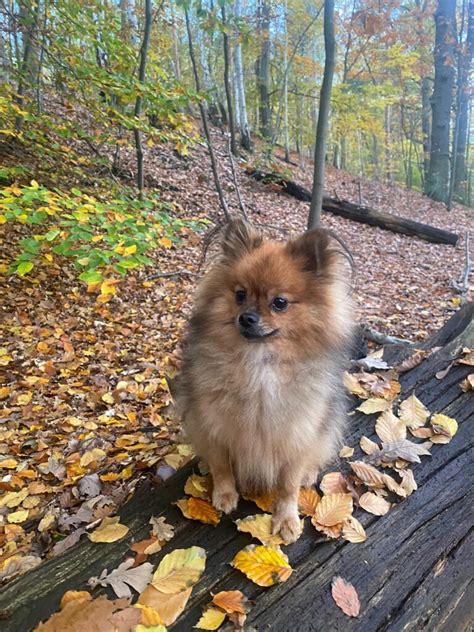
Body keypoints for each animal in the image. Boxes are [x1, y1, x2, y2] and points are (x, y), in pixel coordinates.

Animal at [176, 218, 354, 544]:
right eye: (240, 295)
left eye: (280, 303)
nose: (246, 317)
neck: (259, 366)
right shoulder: (213, 425)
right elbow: (221, 465)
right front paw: (224, 494)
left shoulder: (295, 434)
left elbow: (287, 485)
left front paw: (286, 519)